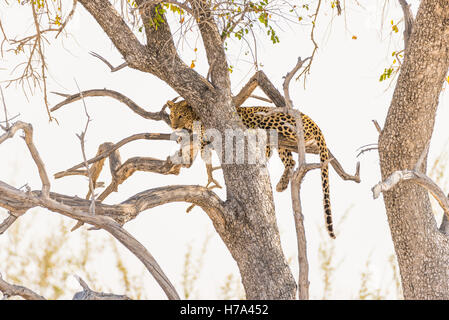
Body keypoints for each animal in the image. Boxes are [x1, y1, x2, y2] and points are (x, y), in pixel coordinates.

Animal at [166, 99, 334, 238]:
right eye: (172, 115)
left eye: (181, 115)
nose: (173, 126)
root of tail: (309, 119)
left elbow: (201, 142)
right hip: (282, 146)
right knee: (290, 161)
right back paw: (282, 184)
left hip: (271, 121)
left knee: (278, 142)